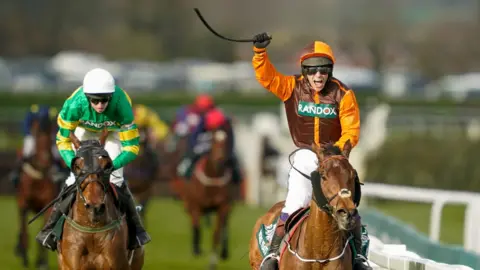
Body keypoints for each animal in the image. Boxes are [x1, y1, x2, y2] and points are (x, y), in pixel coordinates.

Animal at [15, 115, 57, 268]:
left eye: (50, 138)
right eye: (37, 136)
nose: (46, 162)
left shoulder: (48, 205)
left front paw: (42, 262)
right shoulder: (23, 204)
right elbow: (24, 231)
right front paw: (25, 259)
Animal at [183, 129, 233, 270]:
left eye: (226, 140)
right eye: (213, 140)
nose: (220, 158)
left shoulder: (223, 206)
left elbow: (216, 234)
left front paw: (213, 262)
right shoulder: (196, 205)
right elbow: (197, 227)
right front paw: (197, 249)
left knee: (225, 227)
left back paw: (224, 252)